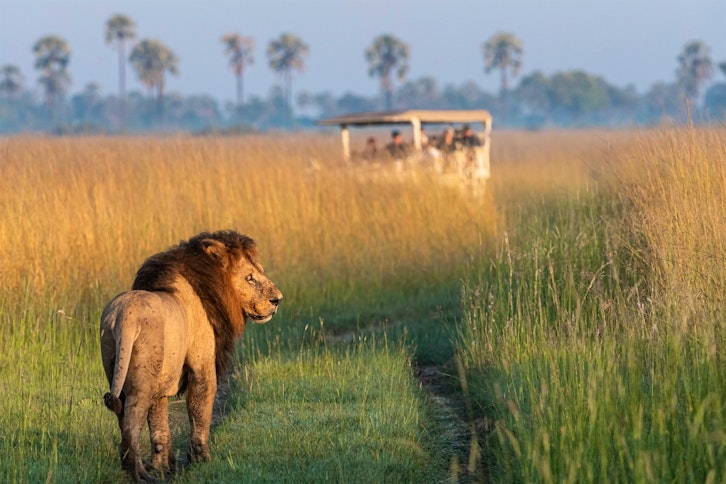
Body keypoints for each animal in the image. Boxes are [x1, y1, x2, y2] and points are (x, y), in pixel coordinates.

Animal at [100, 230, 282, 482]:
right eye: (250, 278)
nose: (278, 299)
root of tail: (123, 317)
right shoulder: (202, 365)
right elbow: (200, 410)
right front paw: (201, 460)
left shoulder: (163, 381)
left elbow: (159, 426)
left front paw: (164, 466)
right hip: (141, 383)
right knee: (131, 424)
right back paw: (138, 473)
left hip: (115, 364)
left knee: (123, 417)